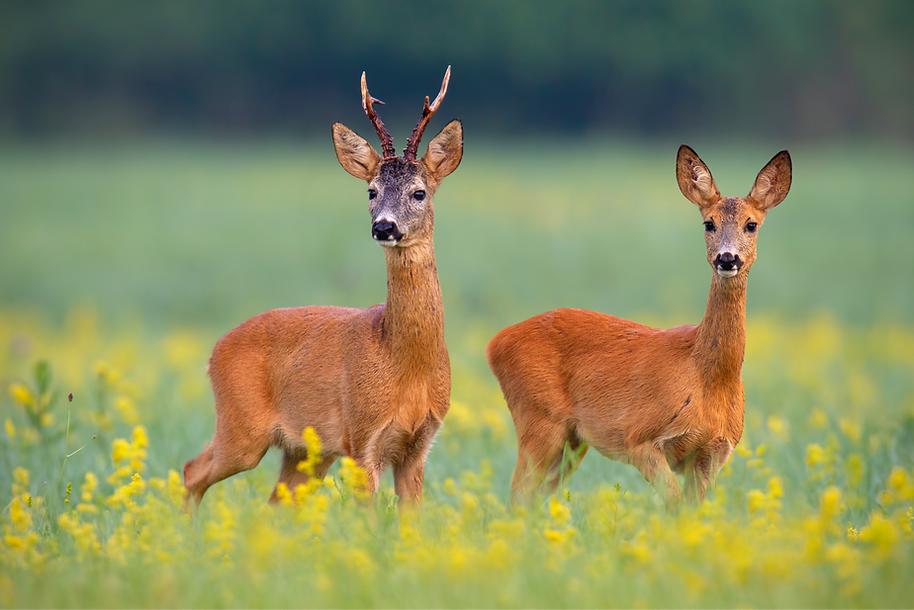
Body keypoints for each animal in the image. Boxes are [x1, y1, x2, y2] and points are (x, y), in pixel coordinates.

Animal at [183, 67, 463, 509]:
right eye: (371, 191)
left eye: (419, 192)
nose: (384, 227)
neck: (403, 363)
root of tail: (213, 352)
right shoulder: (361, 436)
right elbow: (369, 516)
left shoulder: (419, 445)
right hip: (242, 428)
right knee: (191, 471)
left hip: (304, 452)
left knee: (273, 501)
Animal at [486, 146, 791, 510]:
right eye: (709, 223)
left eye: (751, 224)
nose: (727, 258)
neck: (707, 376)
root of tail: (495, 343)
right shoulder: (640, 437)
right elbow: (674, 504)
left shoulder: (713, 452)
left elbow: (693, 510)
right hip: (538, 418)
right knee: (517, 496)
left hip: (571, 440)